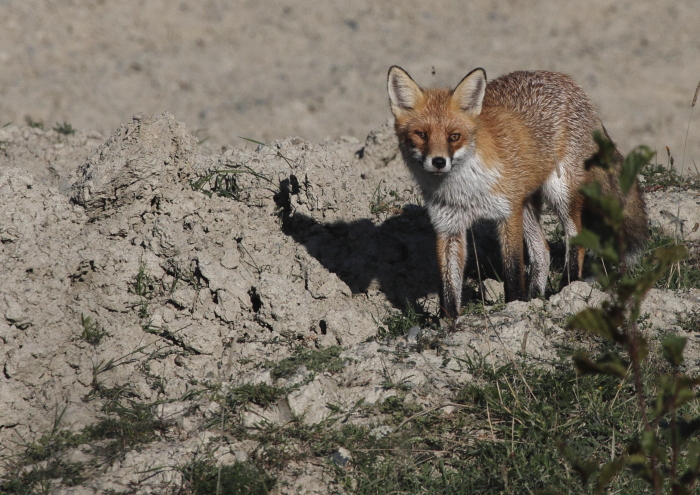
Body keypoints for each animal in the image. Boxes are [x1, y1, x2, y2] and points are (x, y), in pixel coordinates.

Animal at [386, 66, 648, 318]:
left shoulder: (508, 213)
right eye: (421, 134)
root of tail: (567, 80)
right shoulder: (448, 225)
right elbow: (448, 285)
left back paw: (567, 287)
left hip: (559, 193)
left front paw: (515, 305)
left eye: (454, 137)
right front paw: (447, 322)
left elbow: (512, 270)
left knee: (575, 238)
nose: (439, 162)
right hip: (528, 205)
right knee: (543, 250)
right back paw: (536, 296)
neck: (467, 191)